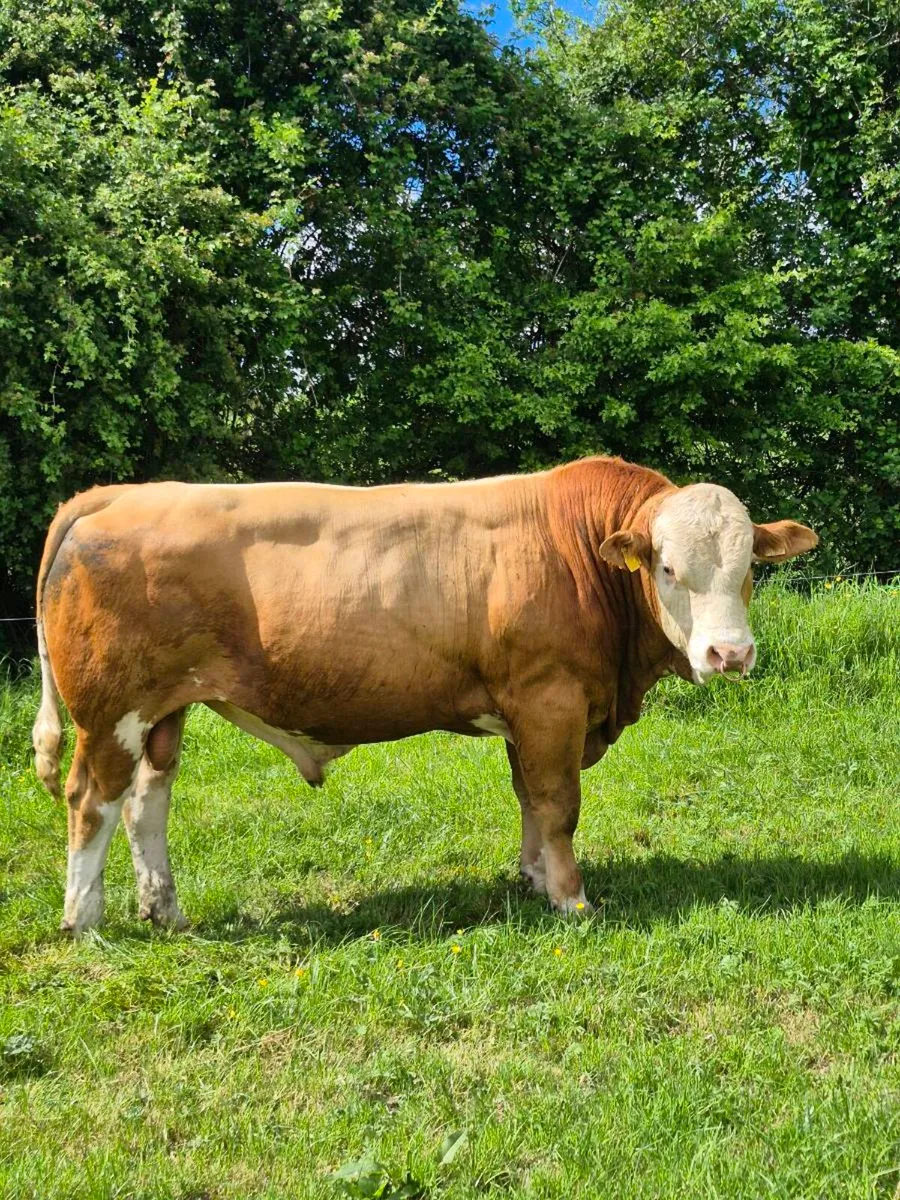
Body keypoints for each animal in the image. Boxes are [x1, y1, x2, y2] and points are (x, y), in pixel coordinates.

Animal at [31, 456, 817, 933]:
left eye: (749, 568)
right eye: (667, 567)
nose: (729, 654)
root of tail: (120, 496)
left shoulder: (525, 710)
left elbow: (530, 799)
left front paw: (533, 878)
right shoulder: (552, 699)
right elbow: (559, 804)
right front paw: (571, 898)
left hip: (164, 709)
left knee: (146, 803)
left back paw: (165, 911)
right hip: (109, 711)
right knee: (91, 800)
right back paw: (85, 921)